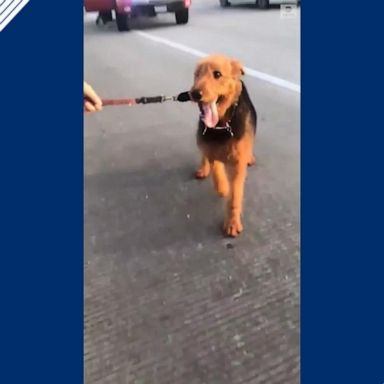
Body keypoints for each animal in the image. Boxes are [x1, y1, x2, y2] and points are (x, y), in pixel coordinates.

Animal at [190, 54, 256, 237]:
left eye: (217, 74)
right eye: (196, 74)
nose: (195, 93)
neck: (222, 124)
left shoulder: (238, 163)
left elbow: (235, 196)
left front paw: (232, 224)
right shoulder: (212, 149)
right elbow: (217, 171)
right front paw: (223, 188)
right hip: (201, 136)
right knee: (204, 153)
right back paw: (203, 168)